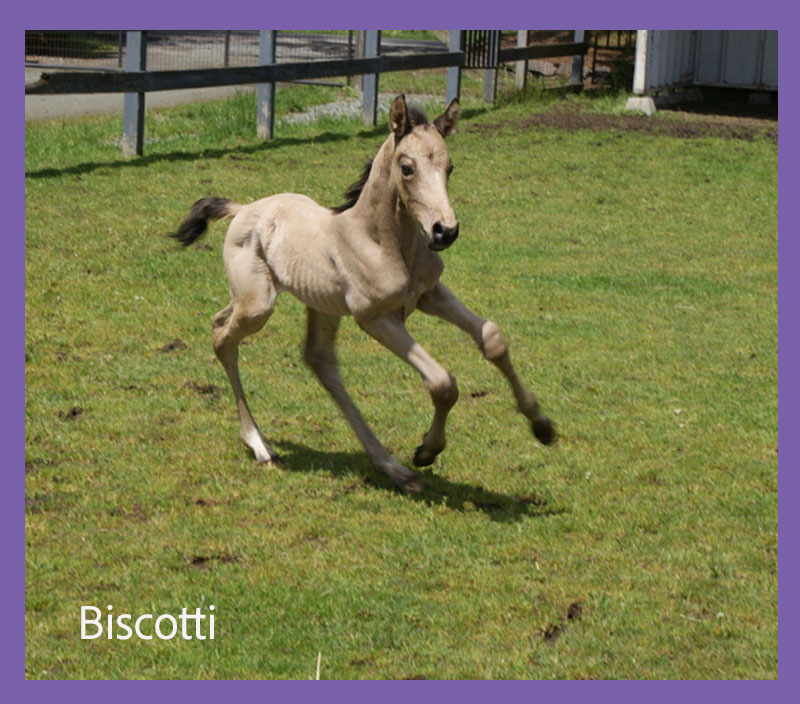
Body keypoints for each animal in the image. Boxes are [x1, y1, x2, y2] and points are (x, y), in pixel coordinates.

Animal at [170, 94, 555, 492]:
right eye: (407, 168)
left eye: (450, 167)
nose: (444, 231)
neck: (385, 242)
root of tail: (243, 208)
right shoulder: (376, 317)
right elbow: (442, 382)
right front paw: (427, 451)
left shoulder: (430, 294)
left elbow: (492, 337)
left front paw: (542, 426)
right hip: (257, 305)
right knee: (222, 335)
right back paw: (260, 445)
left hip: (322, 306)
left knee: (319, 360)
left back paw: (391, 467)